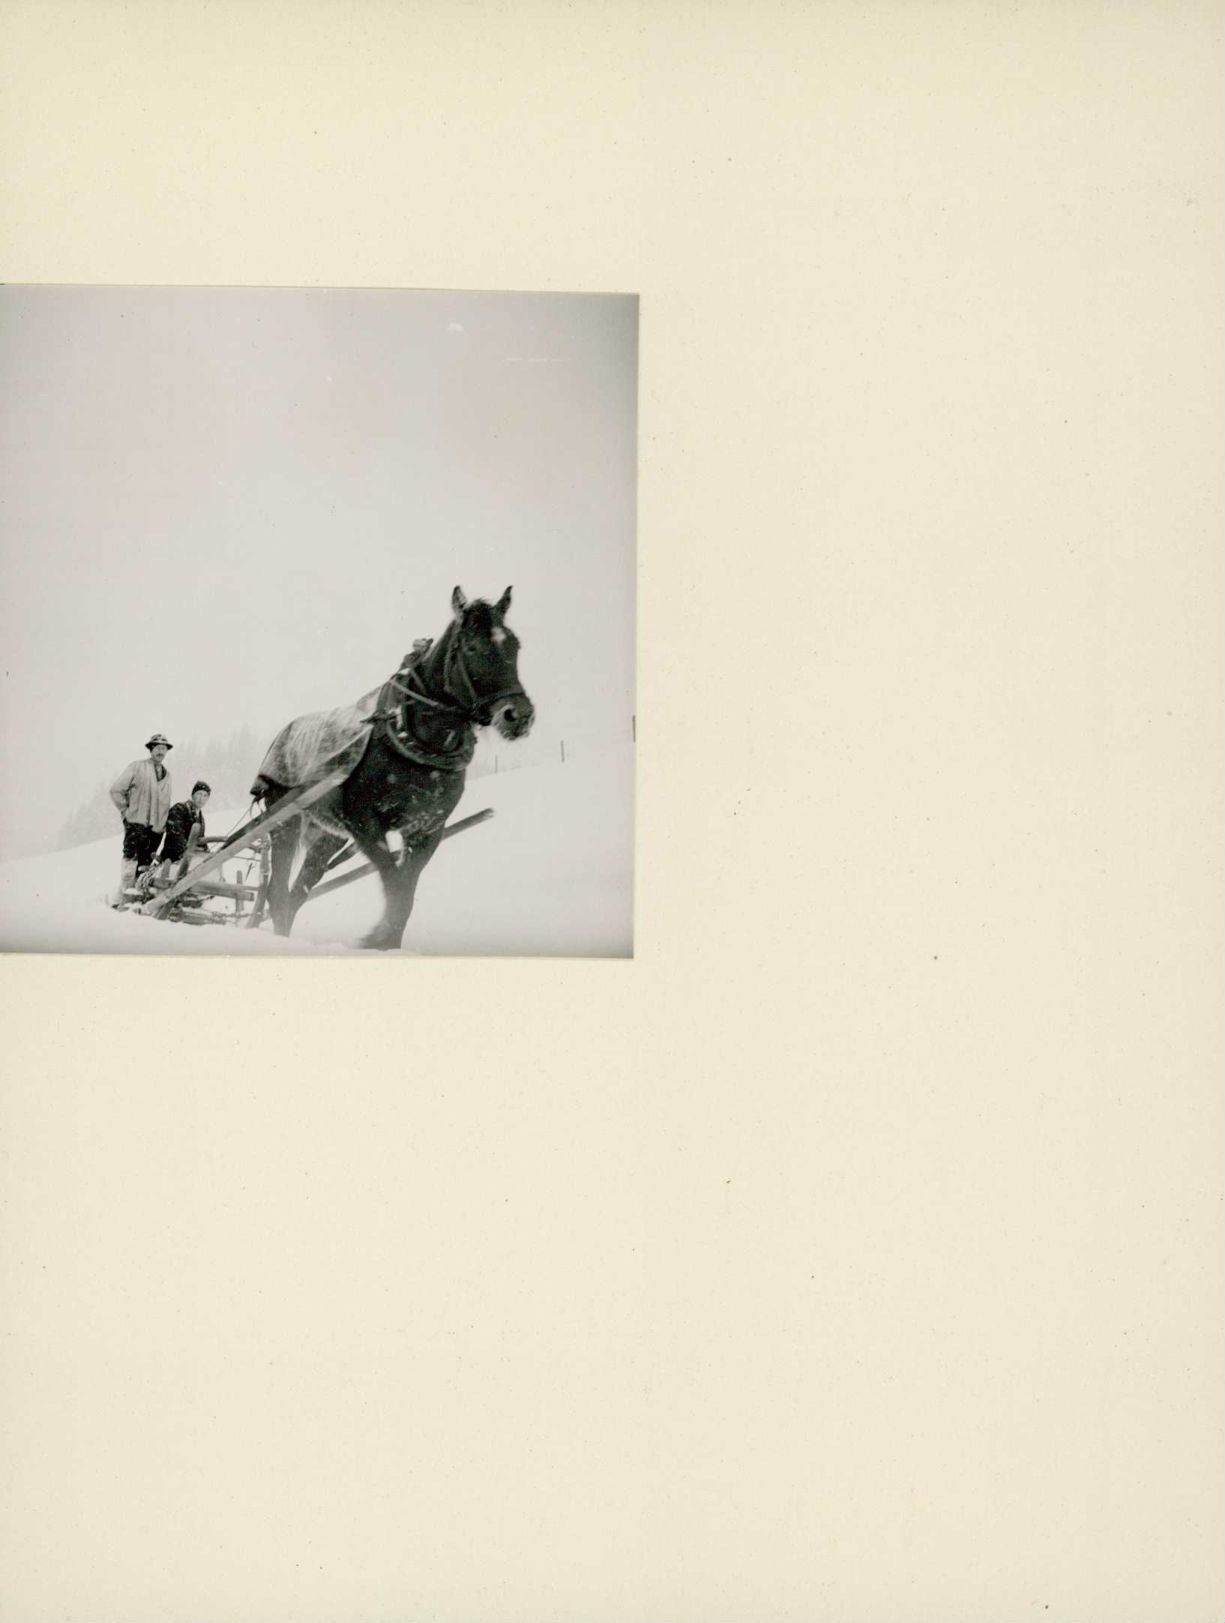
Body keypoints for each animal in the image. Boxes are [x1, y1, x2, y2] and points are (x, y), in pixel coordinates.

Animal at [249, 586, 534, 950]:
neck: (407, 734)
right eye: (471, 647)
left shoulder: (427, 829)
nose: (519, 715)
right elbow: (395, 885)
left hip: (328, 835)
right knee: (278, 893)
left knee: (297, 893)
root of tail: (284, 733)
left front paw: (385, 943)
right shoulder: (365, 824)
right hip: (284, 820)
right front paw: (375, 939)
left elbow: (406, 896)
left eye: (514, 645)